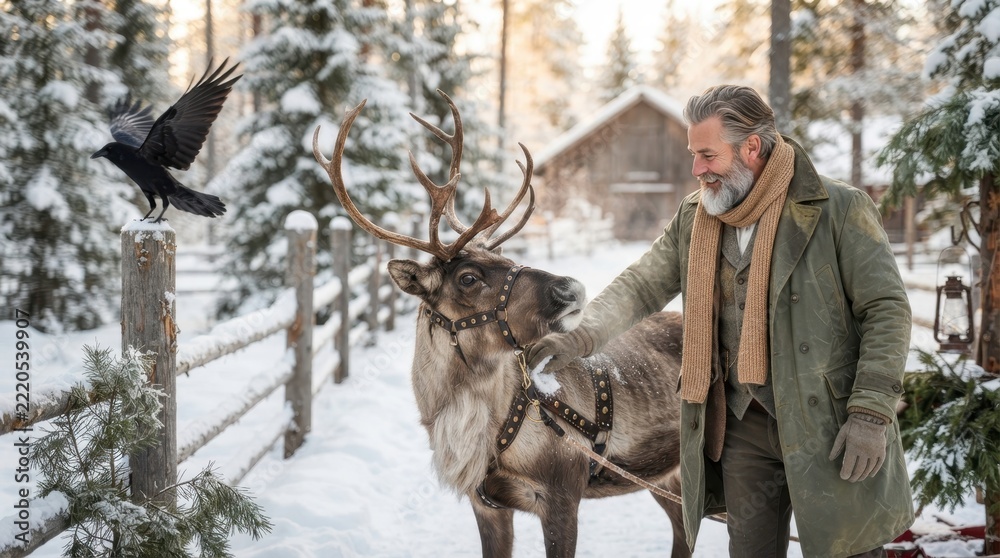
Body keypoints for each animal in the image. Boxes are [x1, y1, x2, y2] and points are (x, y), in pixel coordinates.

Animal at [313, 92, 690, 558]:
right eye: (468, 278)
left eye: (507, 259)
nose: (572, 288)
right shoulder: (486, 504)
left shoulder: (562, 495)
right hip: (667, 477)